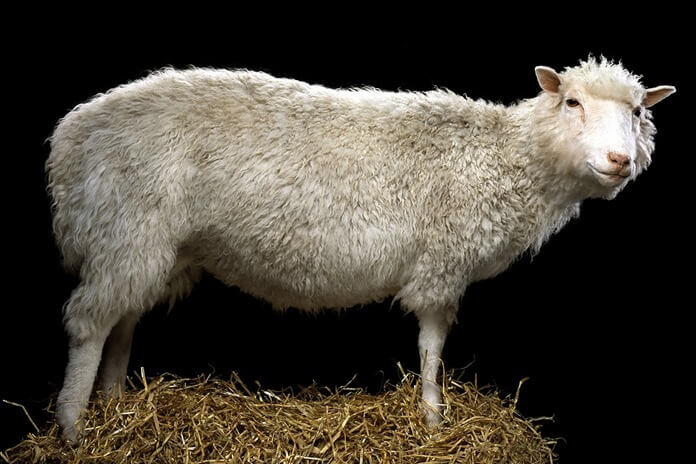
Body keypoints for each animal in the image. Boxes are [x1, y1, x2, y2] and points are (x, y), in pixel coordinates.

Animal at [47, 57, 675, 442]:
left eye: (639, 112)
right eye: (571, 102)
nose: (619, 160)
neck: (503, 158)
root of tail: (69, 140)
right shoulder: (441, 264)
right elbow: (431, 349)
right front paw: (433, 423)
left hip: (145, 244)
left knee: (123, 318)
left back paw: (117, 408)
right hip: (126, 224)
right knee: (88, 324)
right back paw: (76, 428)